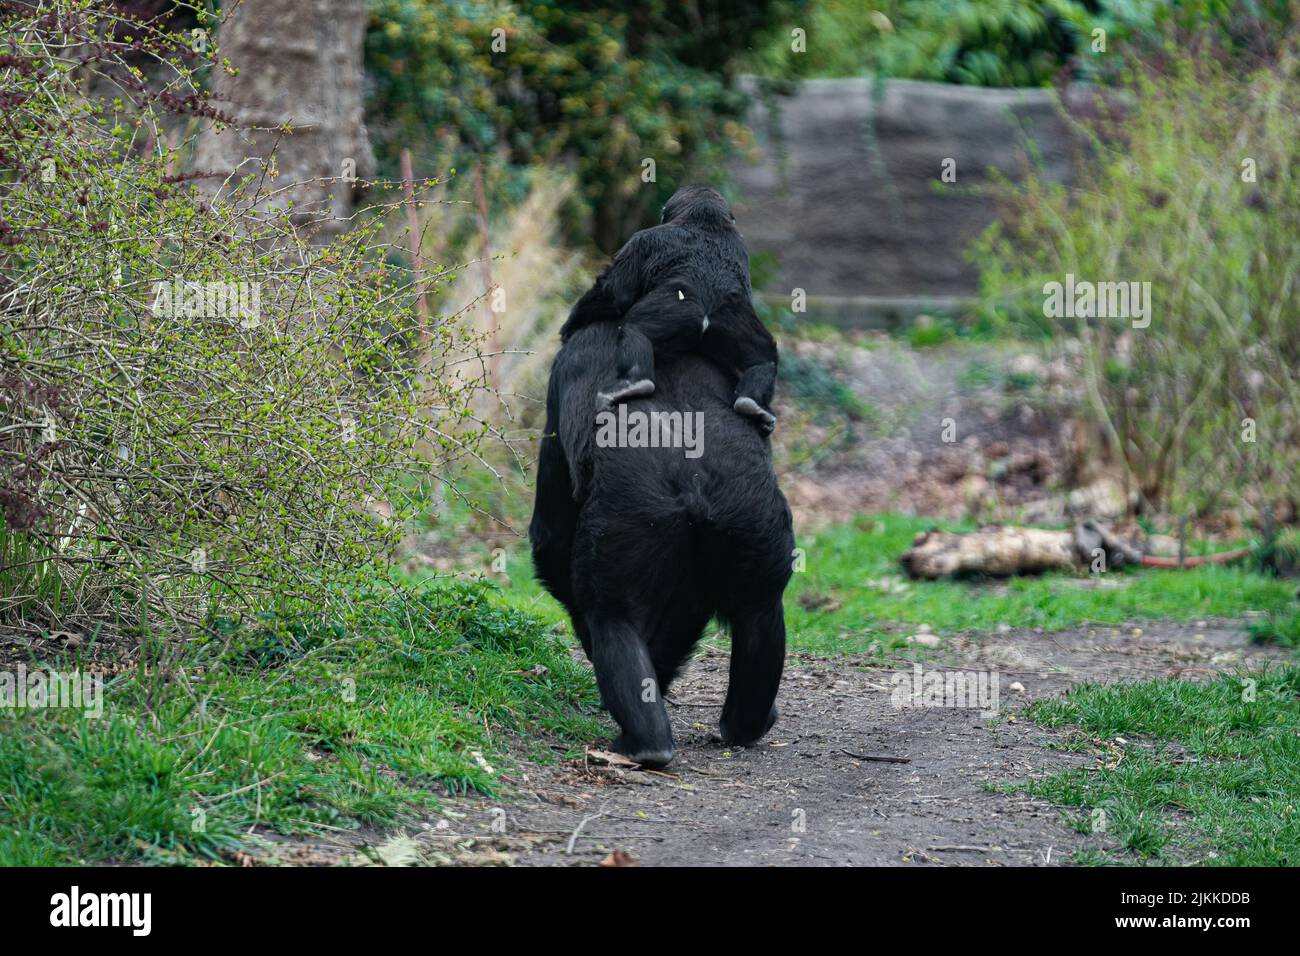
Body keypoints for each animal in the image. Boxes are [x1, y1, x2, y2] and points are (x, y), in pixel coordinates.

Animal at [527, 321, 790, 770]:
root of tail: (696, 481)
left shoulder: (563, 370)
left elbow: (552, 538)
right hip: (753, 516)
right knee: (761, 609)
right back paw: (746, 724)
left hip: (631, 518)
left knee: (612, 618)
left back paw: (645, 743)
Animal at [556, 185, 769, 429]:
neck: (705, 219)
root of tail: (706, 320)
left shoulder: (642, 241)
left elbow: (615, 293)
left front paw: (572, 323)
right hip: (734, 322)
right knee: (763, 357)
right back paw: (754, 403)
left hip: (674, 313)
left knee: (636, 330)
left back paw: (633, 382)